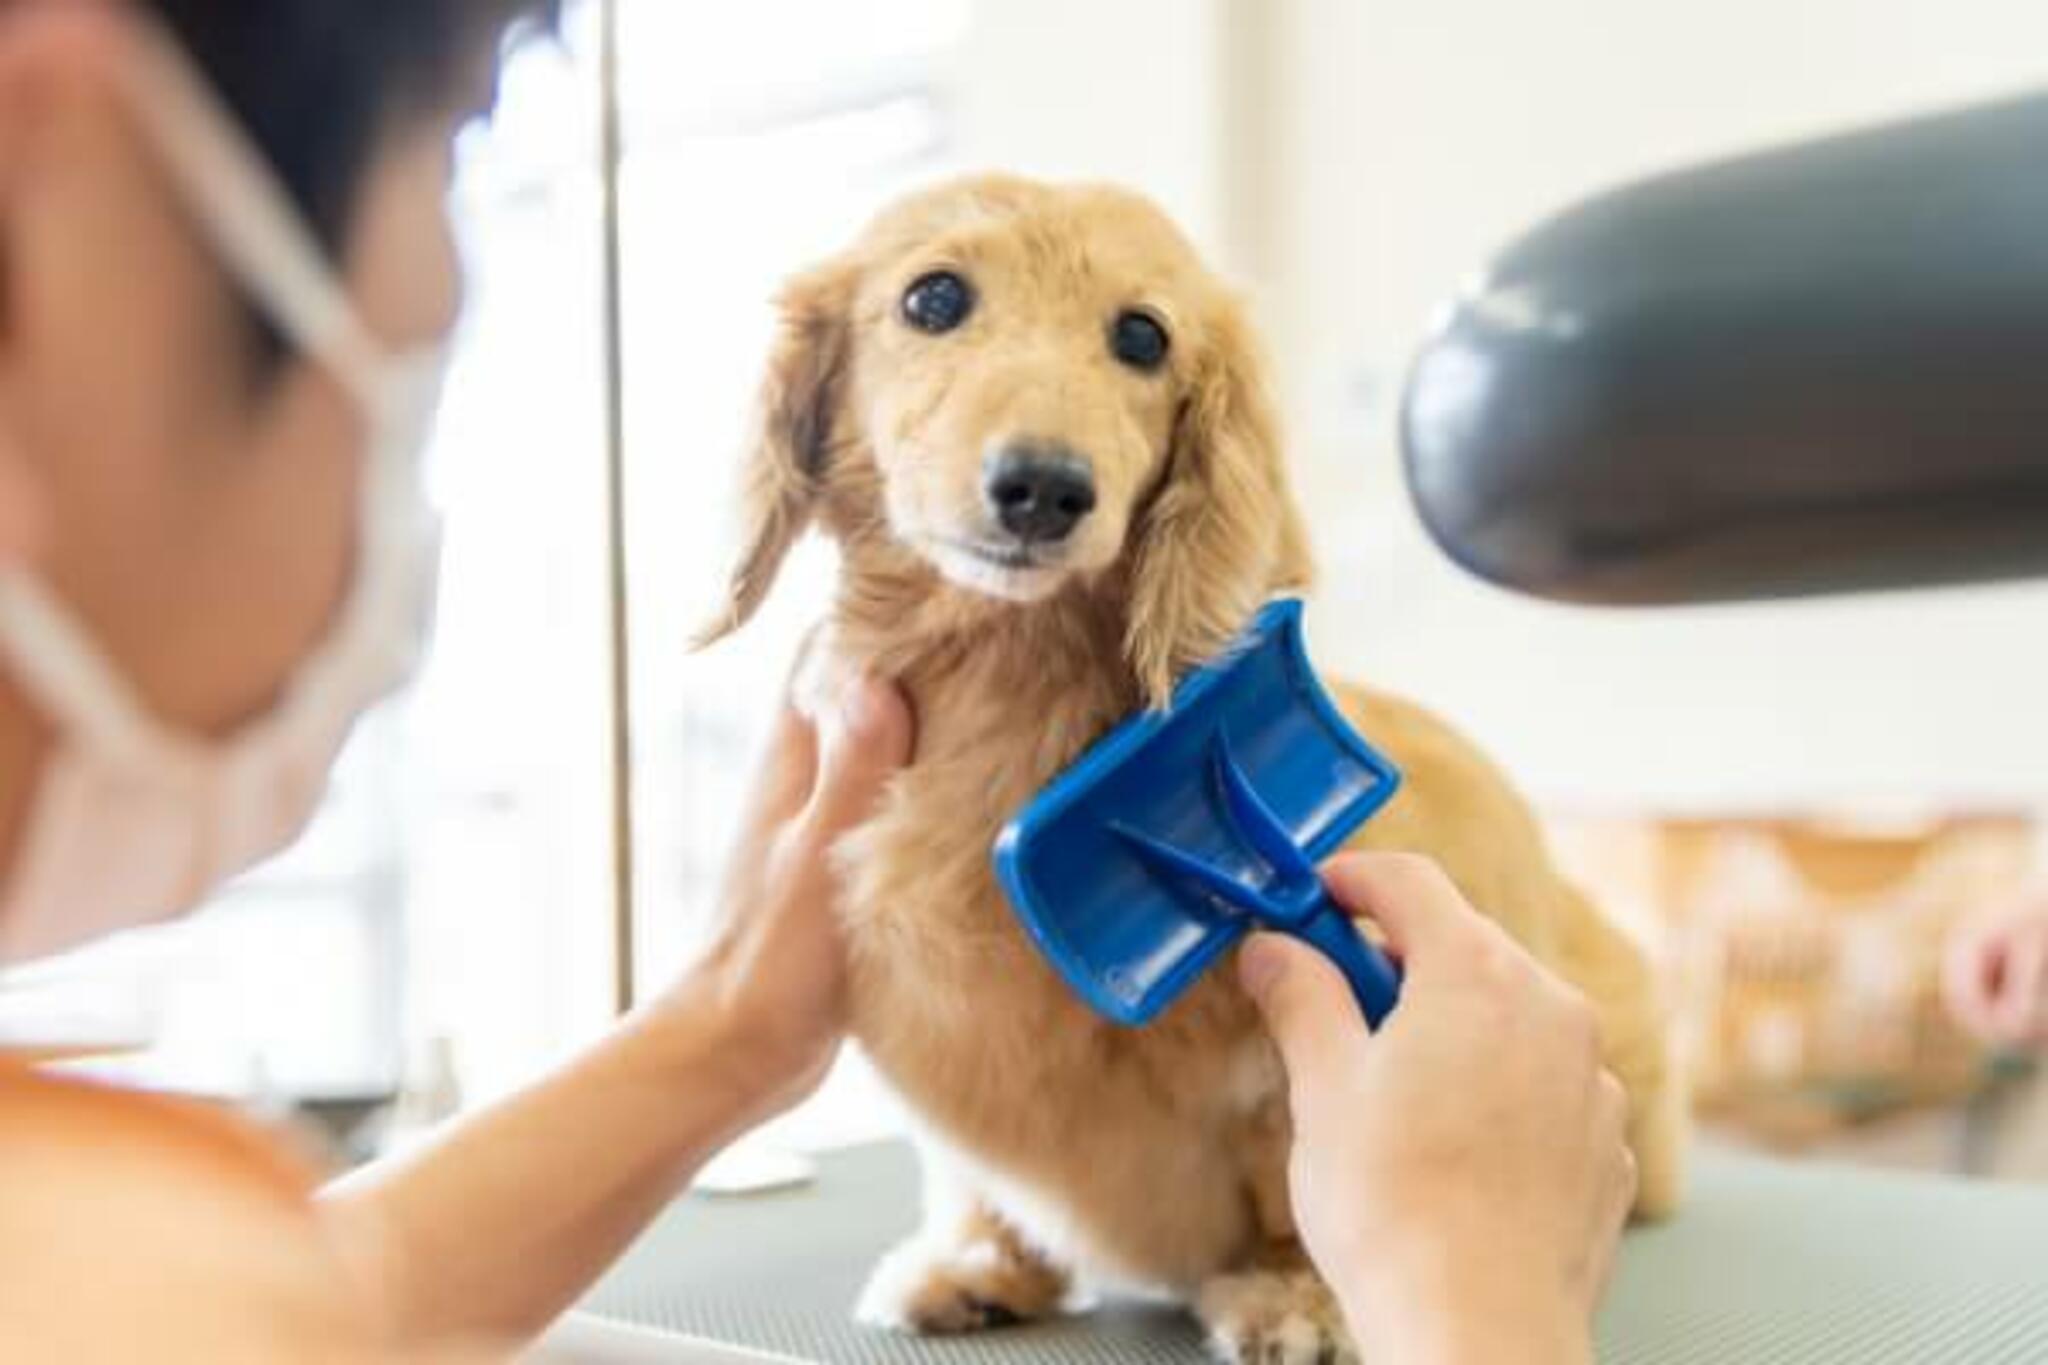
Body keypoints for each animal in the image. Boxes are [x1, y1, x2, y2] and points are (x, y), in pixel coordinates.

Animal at [696, 173, 1687, 1365]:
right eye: (932, 297)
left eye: (1141, 335)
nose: (1043, 487)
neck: (1011, 698)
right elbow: (972, 1174)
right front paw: (977, 1259)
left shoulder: (1296, 1072)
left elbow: (1288, 1171)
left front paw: (1299, 1293)